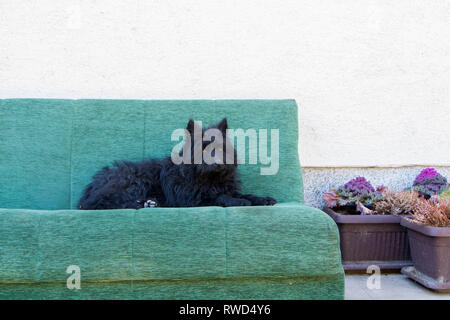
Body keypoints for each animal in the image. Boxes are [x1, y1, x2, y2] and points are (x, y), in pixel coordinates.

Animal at [78, 118, 274, 210]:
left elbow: (244, 194)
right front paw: (239, 201)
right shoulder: (191, 198)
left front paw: (262, 198)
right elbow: (220, 197)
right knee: (103, 203)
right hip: (133, 180)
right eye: (203, 149)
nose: (218, 163)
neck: (209, 178)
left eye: (220, 148)